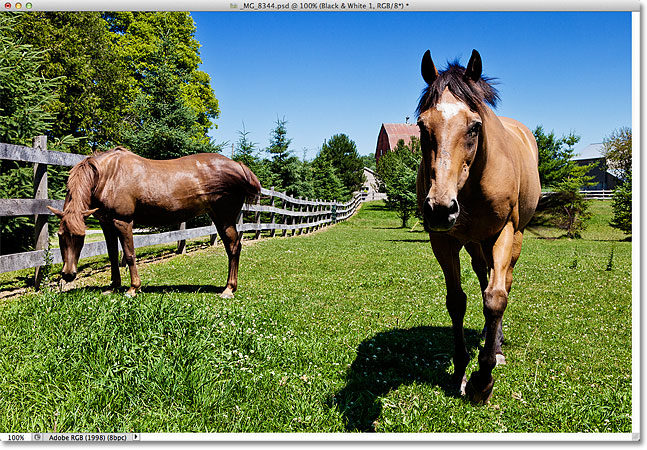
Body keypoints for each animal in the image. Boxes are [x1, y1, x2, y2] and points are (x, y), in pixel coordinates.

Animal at [48, 146, 260, 298]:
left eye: (80, 236)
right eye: (60, 235)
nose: (68, 274)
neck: (108, 176)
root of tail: (239, 166)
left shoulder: (123, 222)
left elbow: (129, 255)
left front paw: (133, 289)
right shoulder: (106, 224)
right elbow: (112, 255)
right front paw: (113, 286)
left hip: (225, 218)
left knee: (234, 247)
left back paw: (228, 289)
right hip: (217, 217)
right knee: (231, 247)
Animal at [416, 50, 540, 404]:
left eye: (474, 127)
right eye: (422, 125)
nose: (440, 209)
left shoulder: (504, 232)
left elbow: (496, 299)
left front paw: (483, 380)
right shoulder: (443, 241)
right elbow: (457, 301)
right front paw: (460, 369)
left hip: (512, 238)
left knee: (502, 283)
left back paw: (495, 345)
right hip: (475, 244)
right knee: (484, 276)